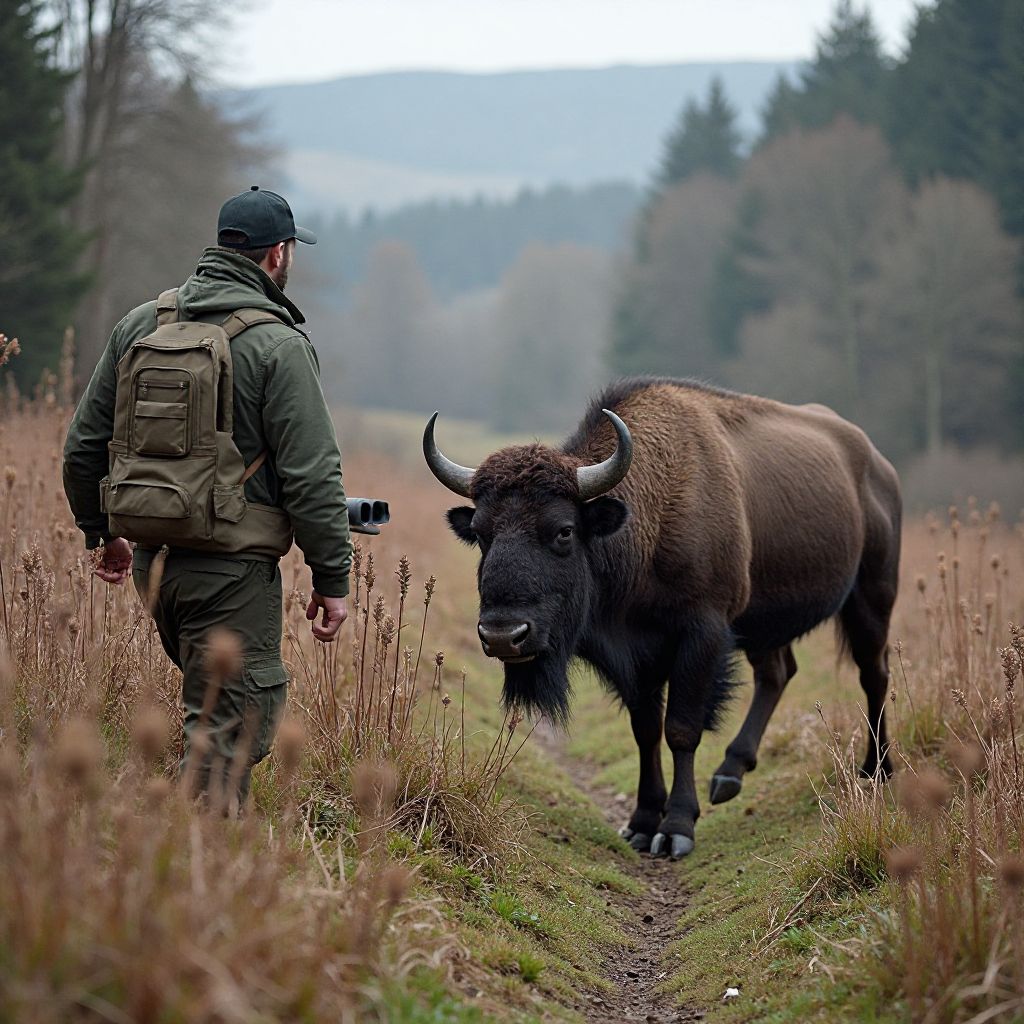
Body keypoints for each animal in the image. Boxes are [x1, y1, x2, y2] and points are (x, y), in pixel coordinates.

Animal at [423, 378, 901, 859]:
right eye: (480, 534)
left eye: (563, 530)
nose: (503, 635)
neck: (646, 520)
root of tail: (880, 468)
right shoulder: (637, 657)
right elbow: (646, 730)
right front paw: (641, 822)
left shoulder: (702, 635)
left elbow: (681, 729)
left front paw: (675, 829)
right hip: (765, 625)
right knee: (777, 674)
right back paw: (729, 775)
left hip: (871, 597)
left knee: (873, 674)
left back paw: (876, 769)